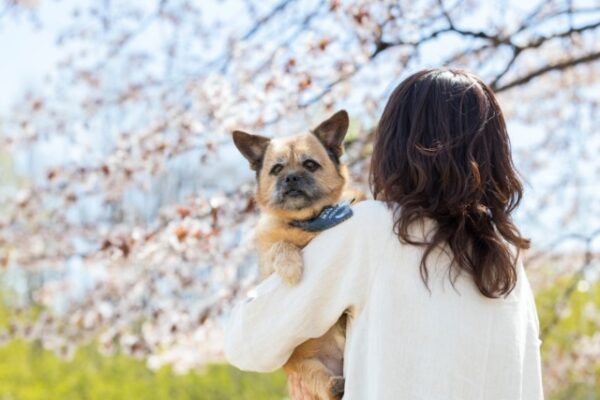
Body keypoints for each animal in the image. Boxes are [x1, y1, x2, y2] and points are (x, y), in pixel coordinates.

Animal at [232, 110, 358, 400]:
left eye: (310, 165)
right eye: (277, 169)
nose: (290, 177)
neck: (308, 222)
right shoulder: (269, 266)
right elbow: (280, 246)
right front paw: (291, 268)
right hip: (308, 366)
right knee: (324, 384)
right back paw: (335, 385)